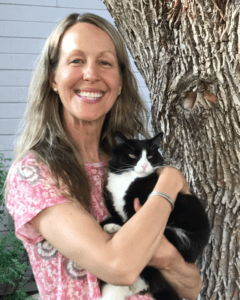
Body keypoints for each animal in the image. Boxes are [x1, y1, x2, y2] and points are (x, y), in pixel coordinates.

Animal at [100, 132, 211, 300]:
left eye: (151, 156)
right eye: (132, 155)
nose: (144, 166)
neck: (128, 180)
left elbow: (130, 222)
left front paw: (112, 225)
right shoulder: (118, 207)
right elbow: (120, 218)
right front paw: (110, 223)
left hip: (180, 236)